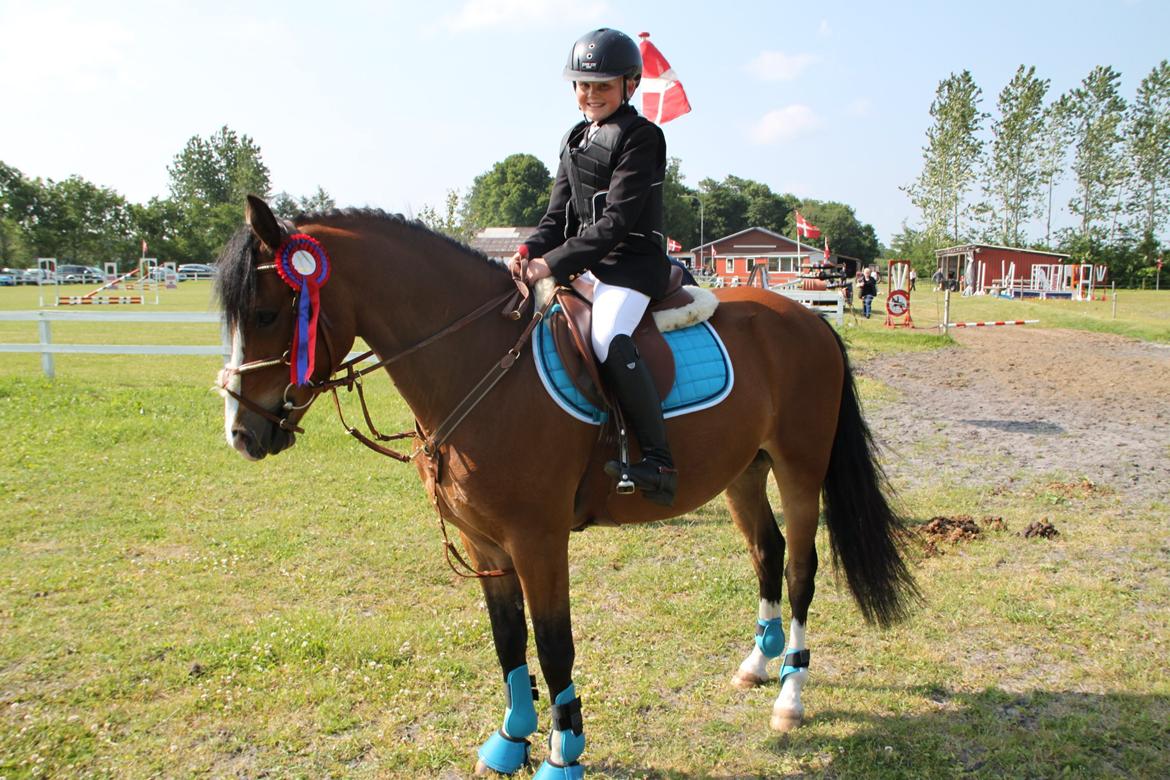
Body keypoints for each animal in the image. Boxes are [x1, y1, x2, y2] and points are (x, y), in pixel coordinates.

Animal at [216, 195, 918, 777]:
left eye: (268, 312)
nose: (241, 434)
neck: (480, 359)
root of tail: (810, 319)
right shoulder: (486, 544)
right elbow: (507, 641)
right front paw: (510, 740)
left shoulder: (538, 540)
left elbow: (554, 646)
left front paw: (562, 753)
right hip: (745, 471)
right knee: (766, 553)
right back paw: (757, 665)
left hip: (801, 470)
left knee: (800, 569)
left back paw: (791, 695)